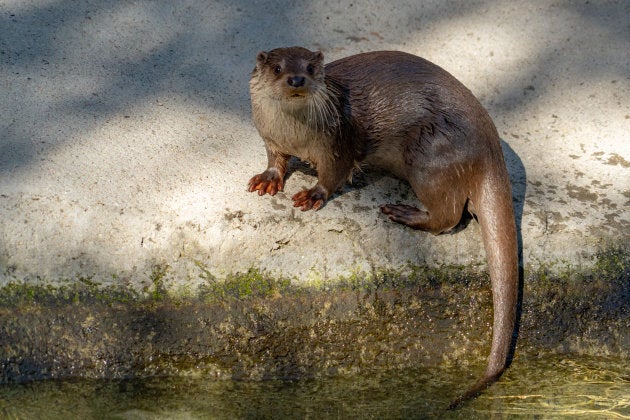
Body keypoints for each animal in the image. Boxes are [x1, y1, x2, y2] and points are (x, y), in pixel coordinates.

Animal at [247, 46, 520, 406]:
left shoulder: (336, 144)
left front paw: (314, 194)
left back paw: (404, 214)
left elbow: (334, 174)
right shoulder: (270, 138)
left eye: (309, 68)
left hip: (428, 154)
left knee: (449, 215)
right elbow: (274, 159)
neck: (296, 136)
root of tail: (489, 148)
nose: (296, 79)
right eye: (277, 68)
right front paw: (268, 178)